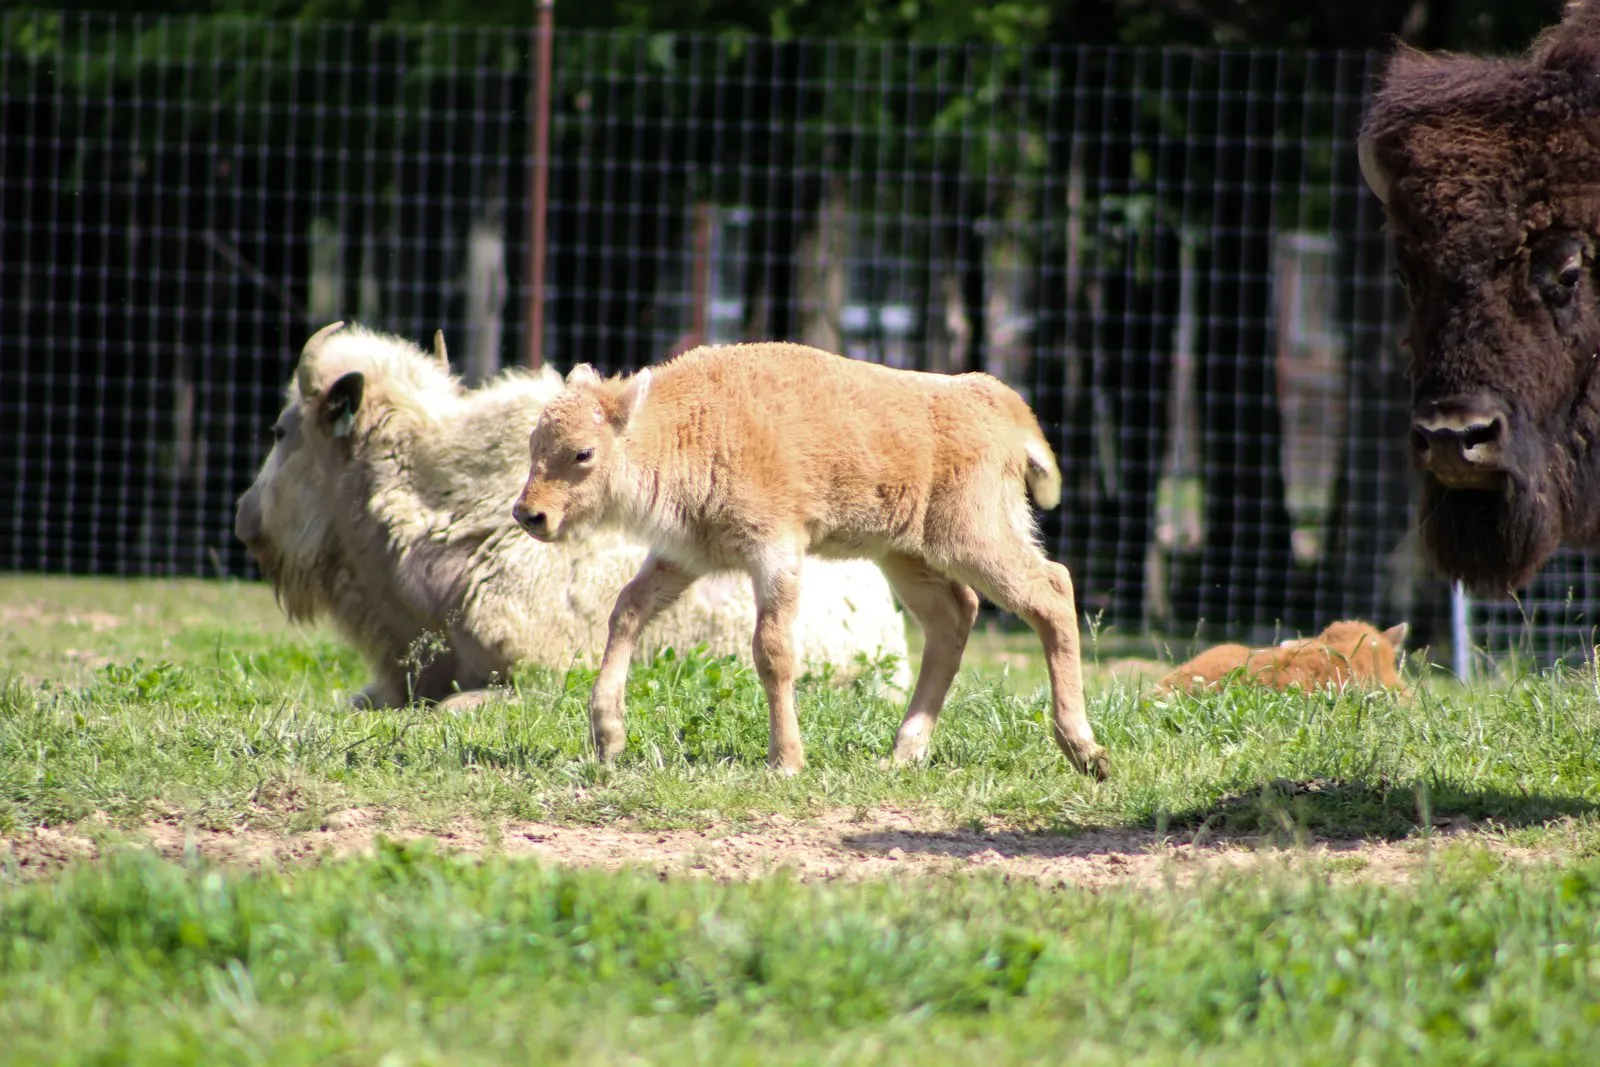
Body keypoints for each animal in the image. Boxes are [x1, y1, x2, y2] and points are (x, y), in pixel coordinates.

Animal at [512, 342, 1106, 778]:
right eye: (533, 443)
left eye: (583, 453)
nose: (529, 514)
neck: (692, 425)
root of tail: (995, 399)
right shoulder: (685, 557)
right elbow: (627, 611)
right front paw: (608, 740)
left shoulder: (775, 554)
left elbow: (772, 651)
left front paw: (785, 762)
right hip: (904, 556)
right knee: (953, 618)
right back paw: (902, 753)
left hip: (973, 539)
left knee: (1051, 591)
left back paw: (1086, 753)